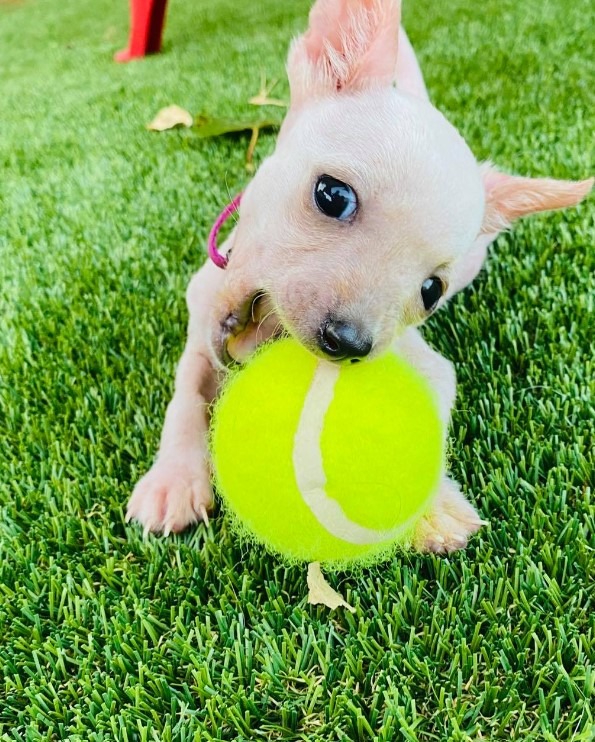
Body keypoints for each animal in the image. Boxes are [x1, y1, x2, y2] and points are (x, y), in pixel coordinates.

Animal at [125, 0, 592, 552]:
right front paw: (172, 480)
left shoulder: (426, 363)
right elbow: (185, 400)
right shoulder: (199, 337)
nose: (348, 344)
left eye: (431, 291)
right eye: (333, 195)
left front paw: (432, 506)